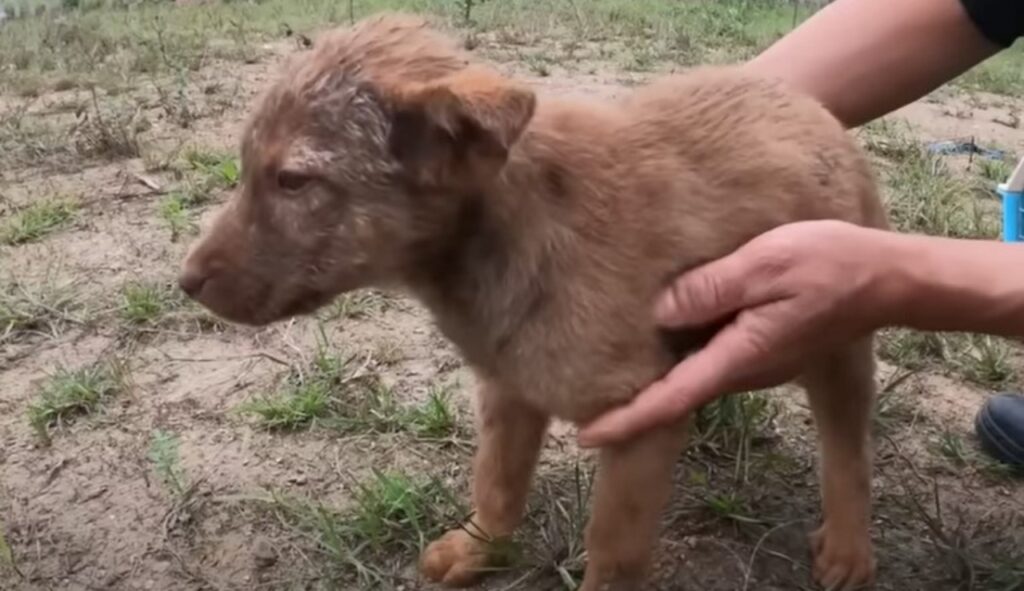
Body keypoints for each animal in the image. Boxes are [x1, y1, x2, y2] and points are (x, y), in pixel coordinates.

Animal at [180, 13, 884, 589]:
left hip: (839, 343)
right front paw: (477, 550)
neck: (503, 237)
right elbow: (497, 482)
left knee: (848, 450)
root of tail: (812, 108)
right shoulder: (508, 386)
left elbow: (614, 550)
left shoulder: (639, 420)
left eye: (293, 181)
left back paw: (850, 548)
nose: (185, 281)